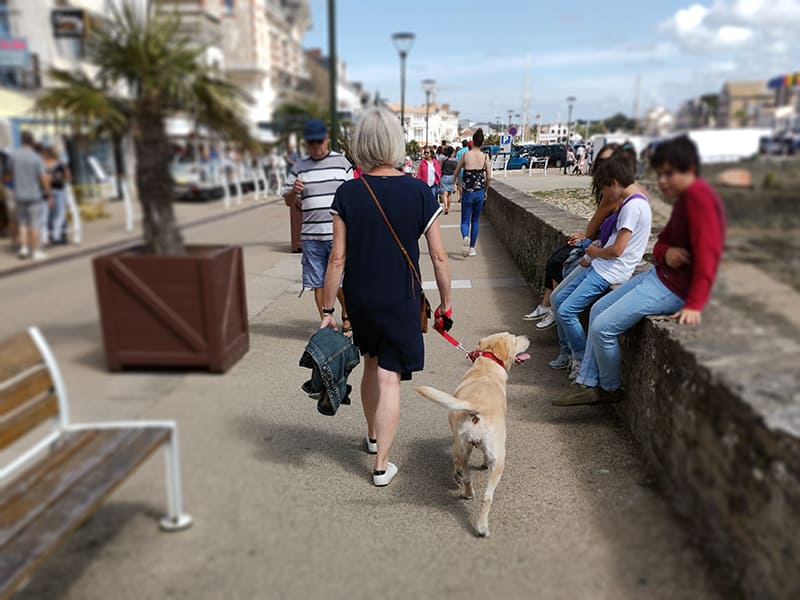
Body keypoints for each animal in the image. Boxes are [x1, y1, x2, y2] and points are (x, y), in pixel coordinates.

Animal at [412, 330, 532, 536]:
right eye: (515, 339)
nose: (527, 337)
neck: (487, 366)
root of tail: (476, 407)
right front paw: (482, 464)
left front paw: (457, 474)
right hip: (499, 460)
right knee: (487, 496)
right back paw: (481, 524)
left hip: (463, 448)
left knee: (467, 477)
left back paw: (468, 495)